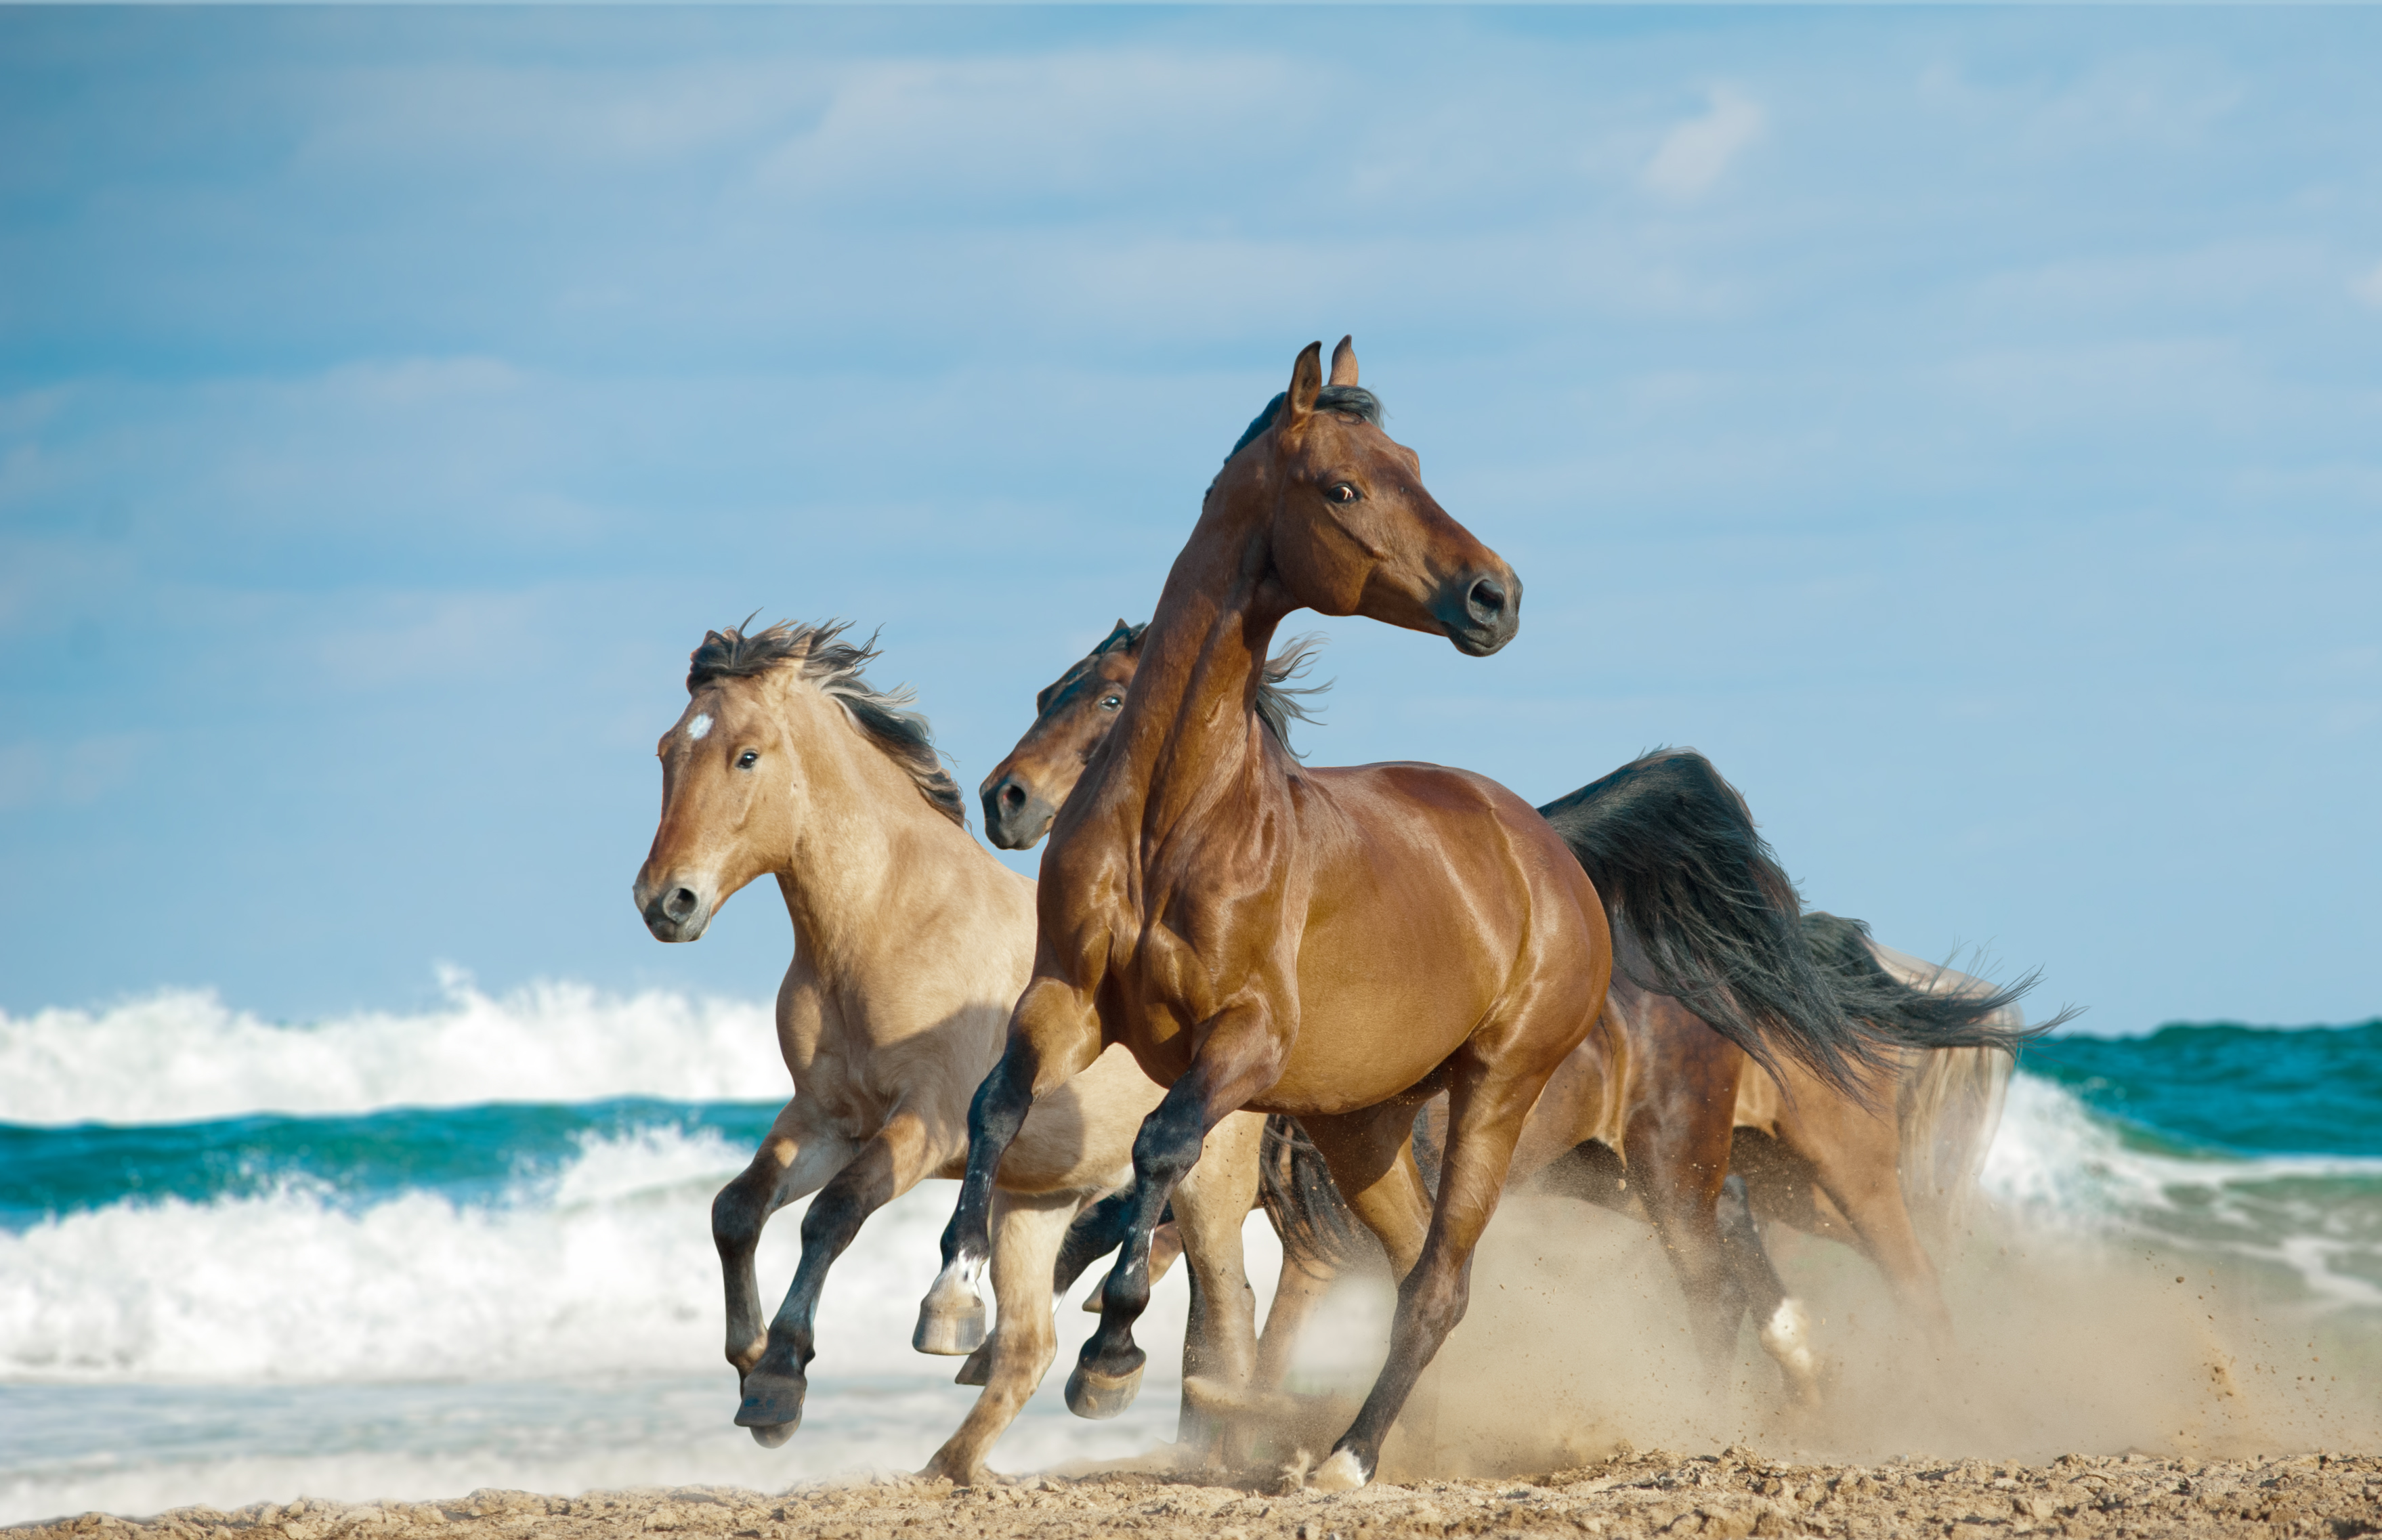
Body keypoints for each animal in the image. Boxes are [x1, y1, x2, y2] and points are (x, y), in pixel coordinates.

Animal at [624, 618, 1277, 1485]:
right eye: (668, 750)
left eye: (747, 756)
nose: (666, 901)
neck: (884, 923)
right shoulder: (825, 1119)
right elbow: (735, 1209)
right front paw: (750, 1360)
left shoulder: (926, 1126)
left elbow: (832, 1216)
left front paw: (778, 1383)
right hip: (1033, 1205)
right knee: (1031, 1344)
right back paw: (951, 1465)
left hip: (1208, 1190)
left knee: (1225, 1309)